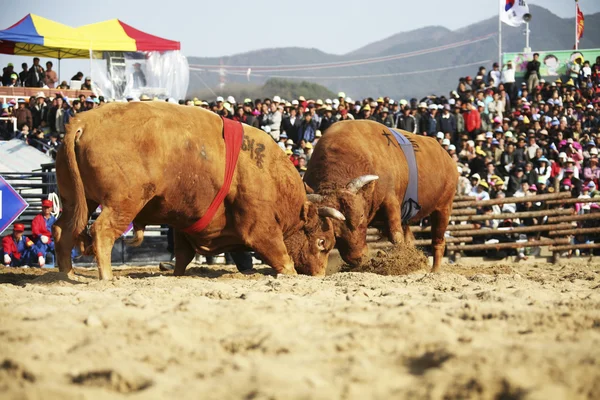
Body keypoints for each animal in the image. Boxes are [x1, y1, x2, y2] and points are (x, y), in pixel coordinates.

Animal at [54, 101, 344, 280]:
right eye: (322, 243)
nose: (319, 275)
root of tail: (83, 123)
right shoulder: (261, 227)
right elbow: (282, 258)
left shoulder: (185, 225)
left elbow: (183, 257)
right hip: (123, 202)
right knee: (101, 231)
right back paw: (106, 276)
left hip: (77, 201)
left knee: (62, 230)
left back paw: (66, 274)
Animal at [302, 119, 458, 272]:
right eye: (335, 231)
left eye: (361, 216)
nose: (358, 257)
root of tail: (447, 158)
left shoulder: (391, 202)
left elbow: (396, 235)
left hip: (443, 207)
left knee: (438, 241)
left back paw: (434, 270)